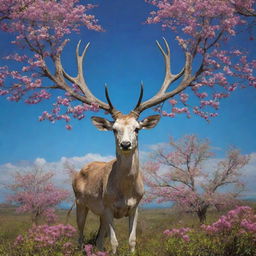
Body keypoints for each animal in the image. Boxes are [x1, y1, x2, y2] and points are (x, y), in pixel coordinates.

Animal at [49, 37, 195, 253]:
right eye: (114, 129)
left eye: (137, 129)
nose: (125, 144)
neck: (125, 192)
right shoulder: (108, 207)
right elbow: (114, 242)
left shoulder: (136, 206)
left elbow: (131, 240)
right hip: (80, 202)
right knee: (80, 234)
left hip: (98, 212)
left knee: (99, 238)